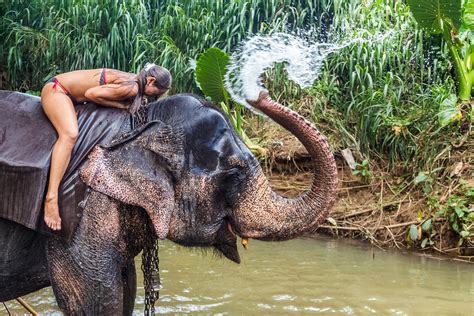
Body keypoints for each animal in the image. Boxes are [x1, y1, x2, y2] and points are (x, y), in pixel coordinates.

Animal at [1, 90, 338, 314]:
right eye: (234, 171)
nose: (260, 93)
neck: (137, 125)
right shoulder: (81, 215)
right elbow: (92, 297)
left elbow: (127, 285)